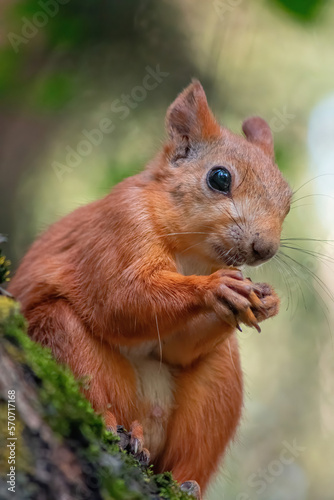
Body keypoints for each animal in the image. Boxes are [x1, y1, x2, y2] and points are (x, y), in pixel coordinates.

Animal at [9, 82, 292, 496]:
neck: (192, 252)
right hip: (59, 335)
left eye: (287, 199)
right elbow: (119, 300)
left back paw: (184, 481)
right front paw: (213, 288)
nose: (264, 249)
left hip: (216, 384)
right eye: (219, 178)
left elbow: (175, 347)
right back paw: (115, 427)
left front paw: (268, 302)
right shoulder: (118, 229)